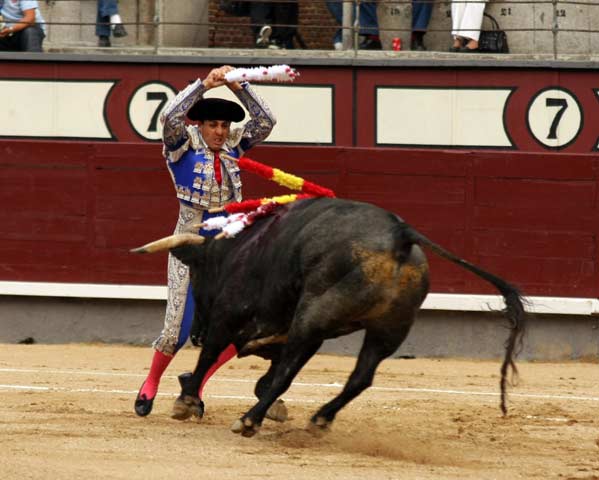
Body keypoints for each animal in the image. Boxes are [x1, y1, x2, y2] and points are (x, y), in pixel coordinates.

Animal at [134, 197, 528, 436]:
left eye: (197, 275)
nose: (195, 332)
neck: (235, 250)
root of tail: (400, 234)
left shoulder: (228, 317)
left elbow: (214, 357)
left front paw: (187, 401)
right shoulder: (294, 330)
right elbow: (268, 368)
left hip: (313, 316)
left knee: (288, 373)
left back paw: (249, 420)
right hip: (385, 329)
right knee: (360, 377)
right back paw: (319, 418)